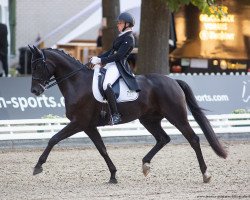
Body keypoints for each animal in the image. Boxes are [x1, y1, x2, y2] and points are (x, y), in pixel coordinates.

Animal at [27, 46, 227, 184]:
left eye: (37, 66)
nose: (35, 91)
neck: (77, 82)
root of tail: (173, 81)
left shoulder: (79, 123)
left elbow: (53, 139)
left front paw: (38, 166)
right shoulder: (89, 126)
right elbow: (102, 149)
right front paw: (113, 175)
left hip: (176, 116)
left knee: (193, 139)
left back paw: (206, 174)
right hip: (149, 119)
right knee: (163, 138)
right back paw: (145, 165)